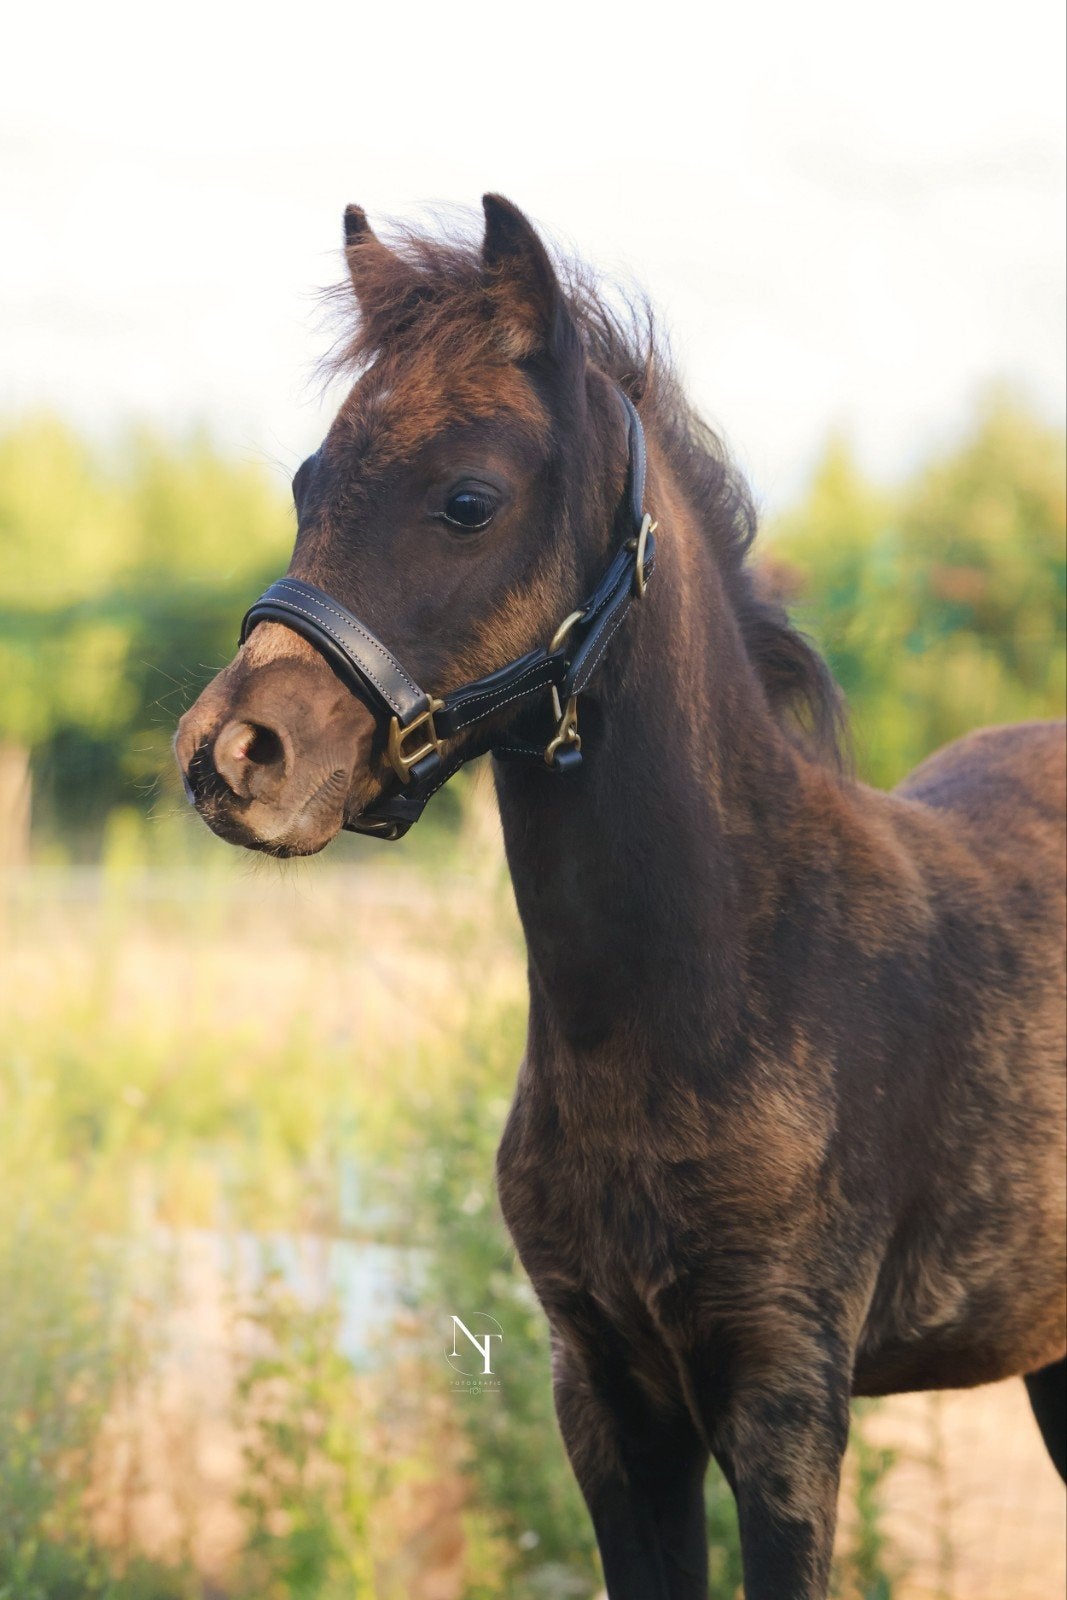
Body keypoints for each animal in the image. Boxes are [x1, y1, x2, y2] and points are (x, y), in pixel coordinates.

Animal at [175, 195, 1066, 1599]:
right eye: (308, 483)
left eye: (467, 500)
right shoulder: (603, 1396)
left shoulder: (783, 1403)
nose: (230, 756)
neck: (709, 995)